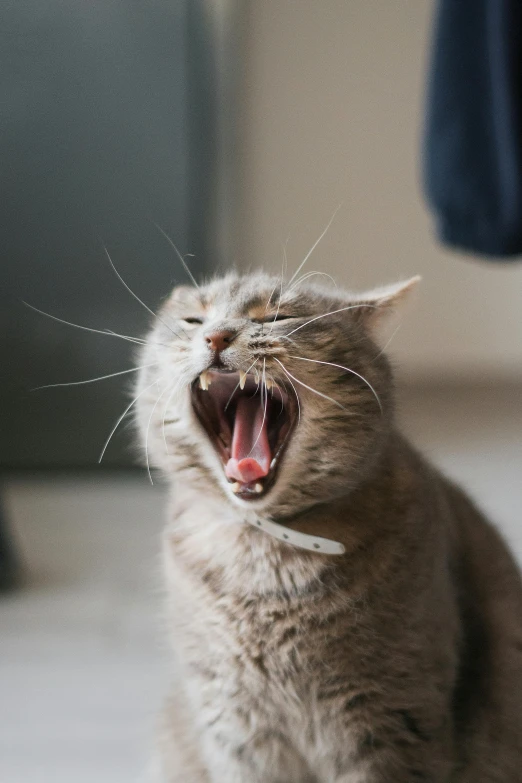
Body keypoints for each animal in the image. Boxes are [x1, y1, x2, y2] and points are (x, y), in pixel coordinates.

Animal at [136, 272, 520, 780]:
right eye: (193, 320)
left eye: (277, 317)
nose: (216, 336)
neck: (264, 557)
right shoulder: (233, 722)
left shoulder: (390, 719)